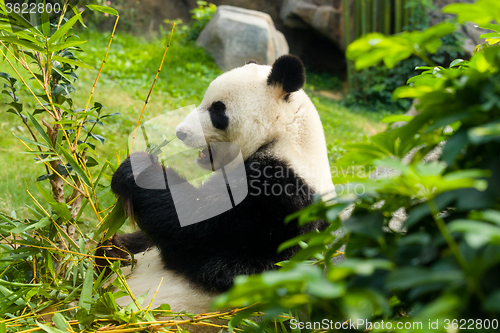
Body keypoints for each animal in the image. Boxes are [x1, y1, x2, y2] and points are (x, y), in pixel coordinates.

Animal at [101, 54, 334, 314]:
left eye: (217, 111)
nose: (181, 132)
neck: (286, 136)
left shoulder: (278, 202)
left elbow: (196, 230)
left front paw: (137, 168)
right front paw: (114, 245)